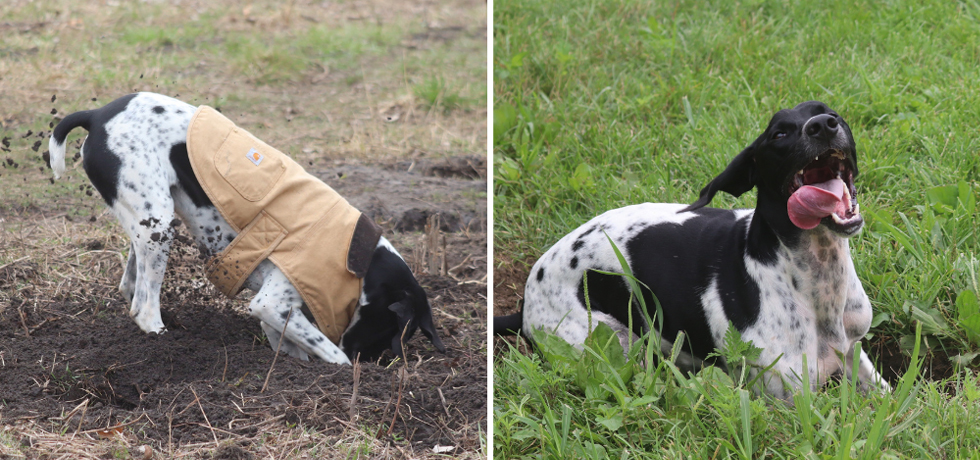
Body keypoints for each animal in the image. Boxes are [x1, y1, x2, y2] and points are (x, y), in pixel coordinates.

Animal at [47, 91, 444, 364]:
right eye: (395, 331)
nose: (375, 363)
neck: (357, 257)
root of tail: (96, 115)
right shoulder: (271, 304)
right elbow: (335, 356)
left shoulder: (280, 317)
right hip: (157, 223)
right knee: (143, 309)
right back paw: (166, 342)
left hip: (148, 225)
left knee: (130, 286)